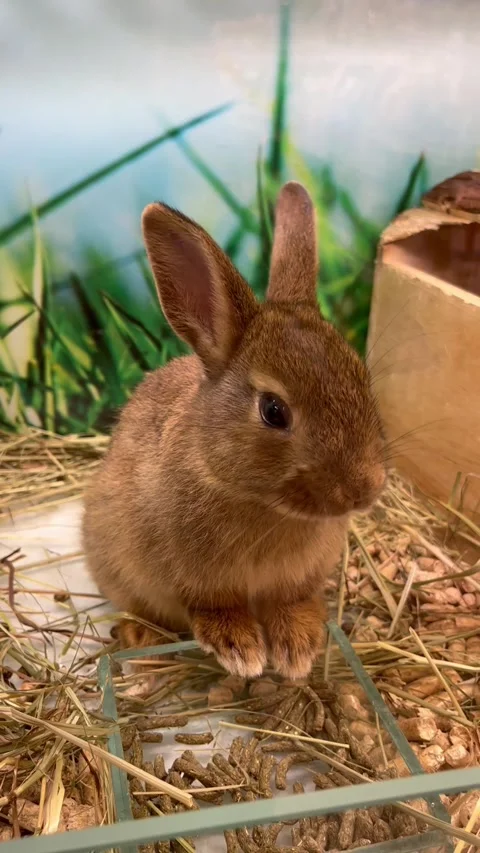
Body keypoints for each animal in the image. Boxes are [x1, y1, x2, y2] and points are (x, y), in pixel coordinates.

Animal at [82, 180, 386, 680]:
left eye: (362, 380)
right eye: (273, 411)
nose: (365, 490)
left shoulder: (293, 581)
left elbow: (290, 604)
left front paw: (297, 649)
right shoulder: (195, 582)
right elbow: (212, 608)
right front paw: (240, 650)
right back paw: (142, 638)